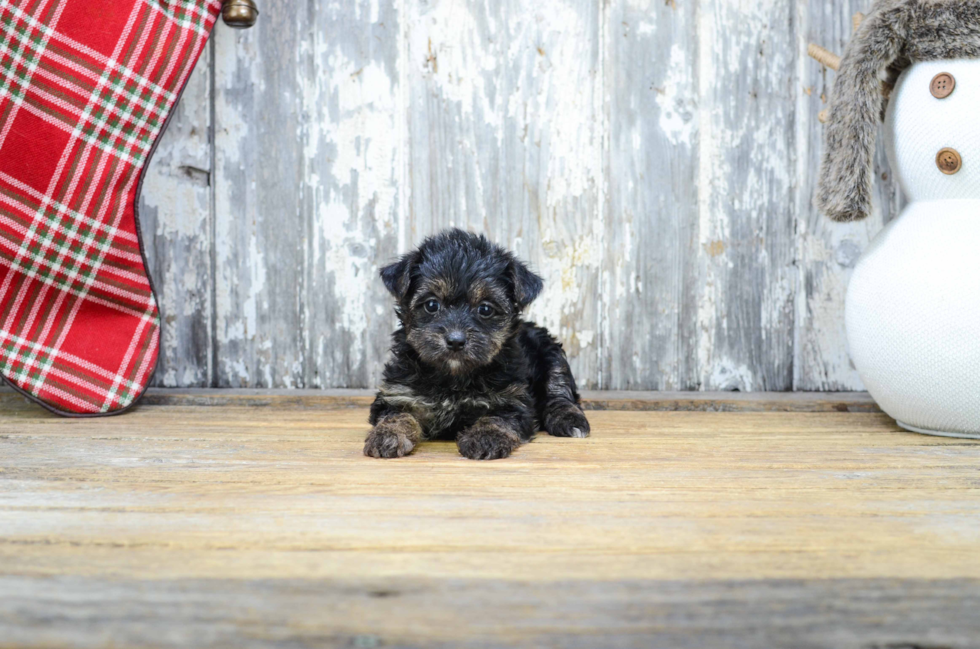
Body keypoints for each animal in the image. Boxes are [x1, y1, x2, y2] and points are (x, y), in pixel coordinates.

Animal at [366, 228, 588, 460]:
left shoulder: (512, 398)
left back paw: (569, 420)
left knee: (559, 391)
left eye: (485, 309)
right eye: (432, 305)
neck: (454, 377)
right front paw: (388, 434)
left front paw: (485, 437)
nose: (455, 340)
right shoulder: (398, 392)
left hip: (551, 353)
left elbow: (498, 418)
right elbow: (396, 414)